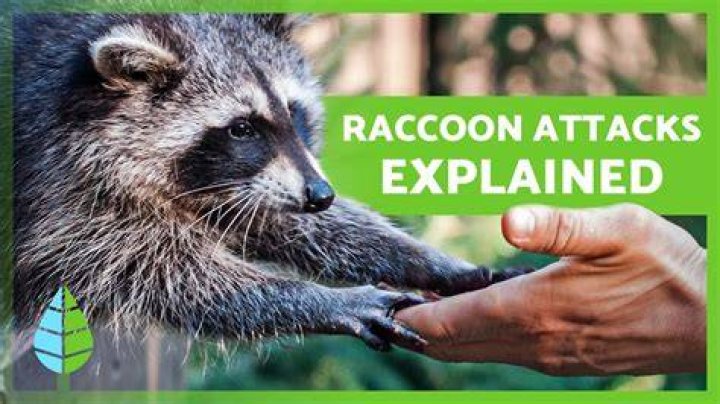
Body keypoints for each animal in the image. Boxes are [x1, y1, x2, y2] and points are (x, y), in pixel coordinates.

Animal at [12, 14, 527, 351]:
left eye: (293, 111)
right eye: (241, 128)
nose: (320, 196)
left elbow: (282, 220)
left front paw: (431, 261)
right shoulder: (61, 186)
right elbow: (153, 271)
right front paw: (320, 301)